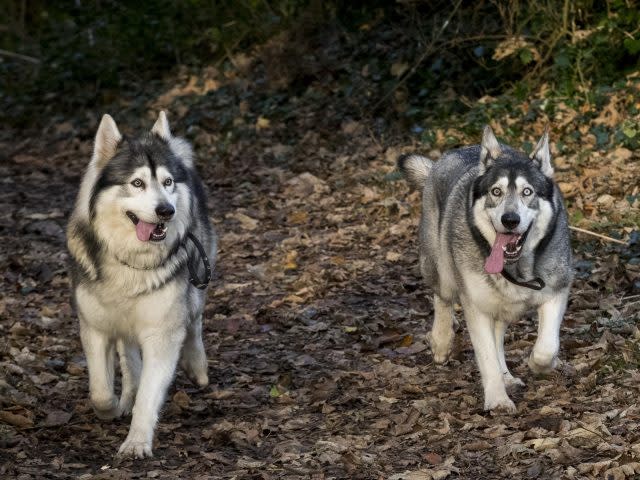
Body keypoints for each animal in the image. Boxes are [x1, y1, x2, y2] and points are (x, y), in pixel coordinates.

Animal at [67, 112, 216, 458]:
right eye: (137, 183)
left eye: (167, 182)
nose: (166, 211)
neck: (131, 261)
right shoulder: (95, 328)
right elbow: (100, 392)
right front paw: (113, 408)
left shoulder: (162, 334)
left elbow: (149, 396)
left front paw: (136, 442)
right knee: (129, 356)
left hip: (198, 275)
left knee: (194, 322)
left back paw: (197, 366)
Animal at [398, 125, 572, 410]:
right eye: (496, 192)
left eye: (527, 192)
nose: (510, 220)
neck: (515, 269)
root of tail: (449, 154)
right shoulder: (475, 306)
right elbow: (486, 355)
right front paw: (498, 400)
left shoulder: (557, 291)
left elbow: (546, 347)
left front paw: (540, 365)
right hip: (439, 268)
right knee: (442, 298)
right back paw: (442, 341)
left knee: (499, 332)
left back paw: (507, 375)